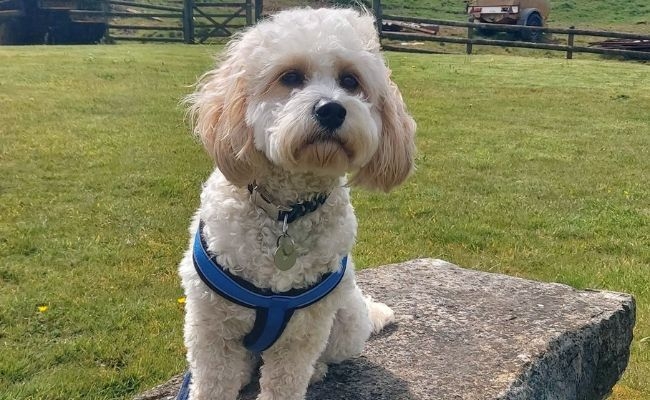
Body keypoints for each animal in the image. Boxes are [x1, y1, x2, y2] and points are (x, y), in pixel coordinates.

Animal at [176, 7, 416, 400]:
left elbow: (287, 380)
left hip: (346, 324)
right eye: (290, 77)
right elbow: (211, 382)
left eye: (350, 81)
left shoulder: (302, 333)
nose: (332, 110)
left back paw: (318, 370)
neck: (284, 213)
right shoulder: (211, 327)